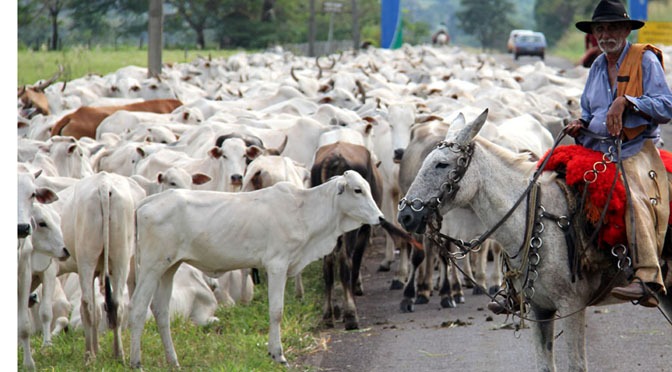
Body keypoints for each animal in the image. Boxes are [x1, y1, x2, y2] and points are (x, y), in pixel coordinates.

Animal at [129, 171, 386, 366]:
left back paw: (173, 361)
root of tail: (146, 203)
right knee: (138, 308)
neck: (303, 211)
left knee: (161, 310)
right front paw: (278, 355)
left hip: (169, 267)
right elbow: (276, 311)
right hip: (151, 267)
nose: (381, 218)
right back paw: (136, 363)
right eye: (357, 190)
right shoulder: (277, 265)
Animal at [396, 109, 668, 370]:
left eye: (441, 164)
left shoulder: (572, 306)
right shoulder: (540, 308)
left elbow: (577, 365)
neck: (536, 218)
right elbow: (544, 364)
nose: (406, 215)